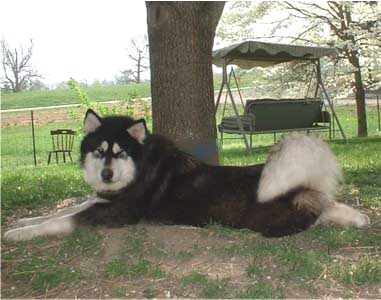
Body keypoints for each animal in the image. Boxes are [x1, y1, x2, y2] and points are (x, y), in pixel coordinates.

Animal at [3, 109, 368, 240]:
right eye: (99, 150)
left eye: (119, 153)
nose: (106, 175)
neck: (140, 170)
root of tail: (300, 185)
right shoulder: (101, 199)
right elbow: (66, 208)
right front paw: (25, 220)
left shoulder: (116, 213)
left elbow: (63, 219)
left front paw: (19, 233)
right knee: (327, 205)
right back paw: (358, 217)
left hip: (264, 220)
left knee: (317, 215)